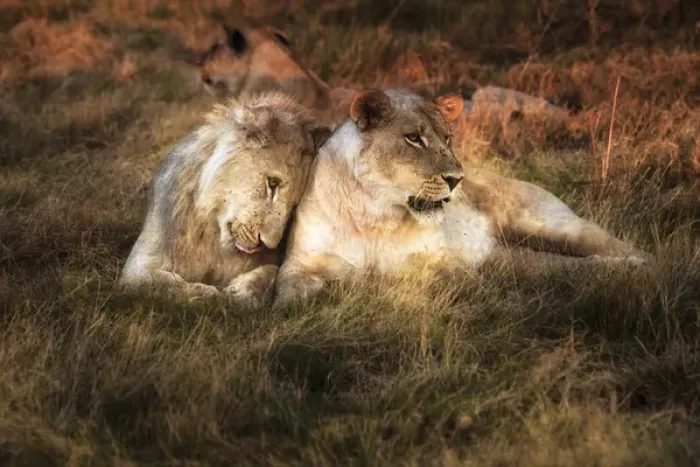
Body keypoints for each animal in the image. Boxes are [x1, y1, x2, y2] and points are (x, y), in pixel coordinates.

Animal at [120, 91, 331, 306]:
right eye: (272, 184)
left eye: (294, 204)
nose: (268, 243)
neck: (215, 238)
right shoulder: (138, 265)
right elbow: (160, 282)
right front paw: (207, 294)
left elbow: (270, 272)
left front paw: (242, 293)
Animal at [275, 88, 648, 304]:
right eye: (413, 138)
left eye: (448, 138)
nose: (457, 179)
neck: (375, 215)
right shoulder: (301, 264)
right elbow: (286, 296)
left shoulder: (445, 265)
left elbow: (429, 282)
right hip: (512, 254)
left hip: (556, 227)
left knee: (618, 251)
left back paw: (637, 268)